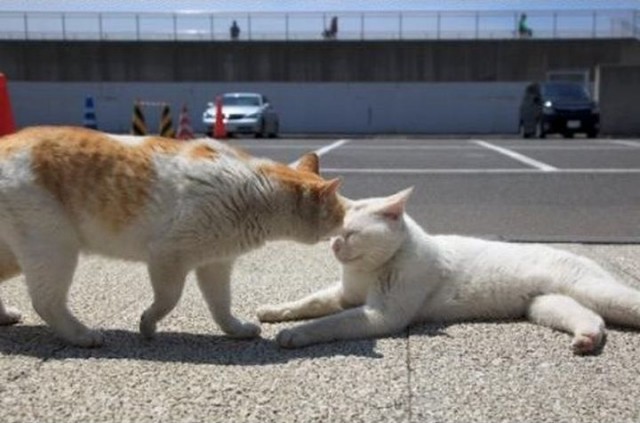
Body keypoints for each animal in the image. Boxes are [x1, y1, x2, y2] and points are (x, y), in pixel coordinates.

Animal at [0, 126, 344, 348]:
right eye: (340, 213)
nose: (343, 225)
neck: (259, 191)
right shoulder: (168, 256)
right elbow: (168, 299)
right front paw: (148, 324)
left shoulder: (215, 264)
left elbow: (221, 304)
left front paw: (234, 329)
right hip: (53, 246)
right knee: (46, 302)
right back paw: (81, 336)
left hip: (16, 255)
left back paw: (5, 317)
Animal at [258, 189, 636, 354]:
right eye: (332, 234)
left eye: (349, 234)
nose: (334, 247)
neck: (367, 271)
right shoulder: (343, 294)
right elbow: (309, 302)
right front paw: (273, 311)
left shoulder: (381, 315)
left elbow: (329, 323)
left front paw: (295, 334)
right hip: (544, 306)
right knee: (591, 318)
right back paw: (587, 339)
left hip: (596, 292)